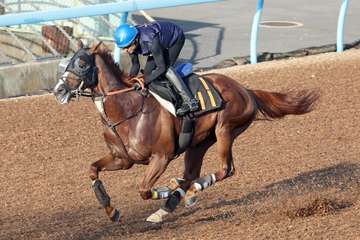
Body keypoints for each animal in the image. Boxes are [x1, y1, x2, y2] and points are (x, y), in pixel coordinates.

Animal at [52, 41, 318, 223]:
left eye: (82, 64)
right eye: (67, 63)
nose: (58, 90)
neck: (127, 109)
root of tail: (246, 90)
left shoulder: (161, 157)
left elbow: (144, 190)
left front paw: (168, 191)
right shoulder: (123, 159)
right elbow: (93, 170)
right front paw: (111, 209)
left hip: (226, 130)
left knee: (225, 170)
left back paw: (188, 192)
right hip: (198, 143)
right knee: (191, 173)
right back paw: (171, 202)